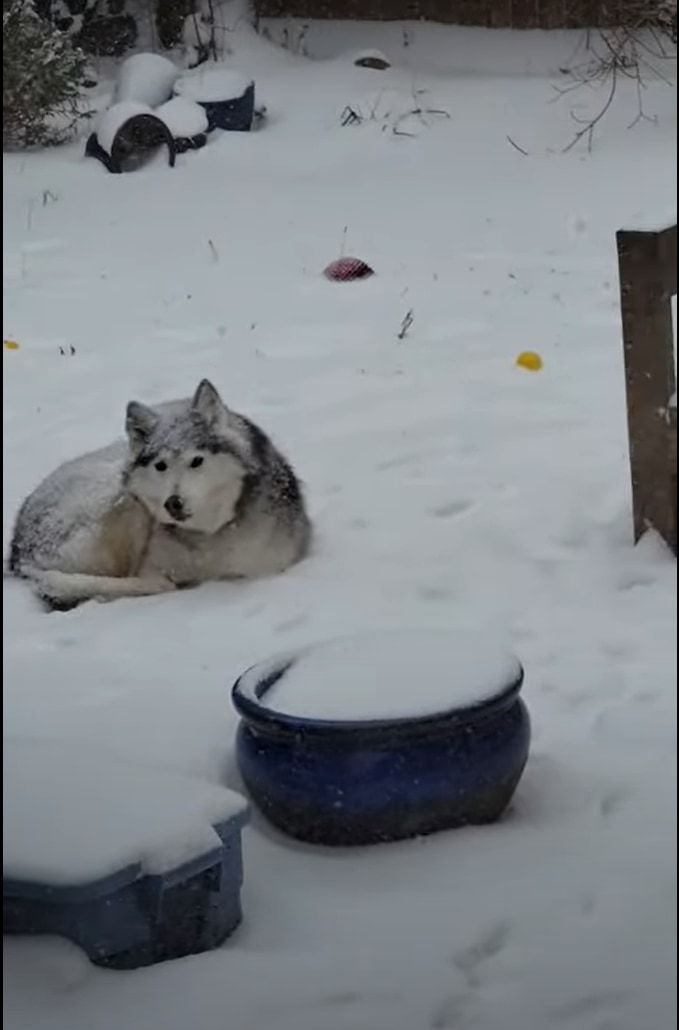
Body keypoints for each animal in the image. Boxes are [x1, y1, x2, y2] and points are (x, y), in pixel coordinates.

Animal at [9, 379, 311, 605]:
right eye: (161, 466)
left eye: (196, 461)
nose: (173, 503)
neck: (207, 537)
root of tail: (17, 551)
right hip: (127, 502)